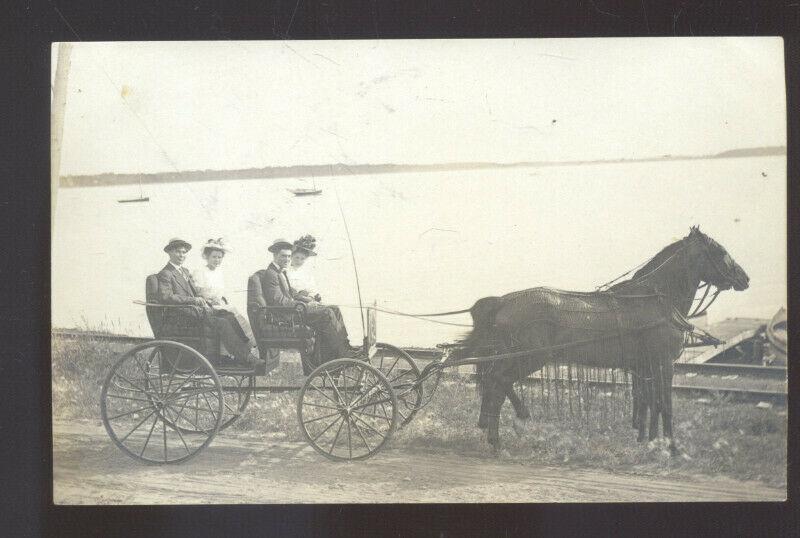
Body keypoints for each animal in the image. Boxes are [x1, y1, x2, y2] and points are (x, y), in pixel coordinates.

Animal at [450, 226, 752, 452]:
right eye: (720, 251)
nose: (744, 278)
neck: (654, 300)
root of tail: (503, 301)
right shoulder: (664, 363)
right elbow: (664, 403)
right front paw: (671, 446)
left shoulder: (645, 366)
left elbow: (647, 402)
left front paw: (648, 440)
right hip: (529, 357)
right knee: (498, 381)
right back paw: (498, 436)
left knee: (495, 383)